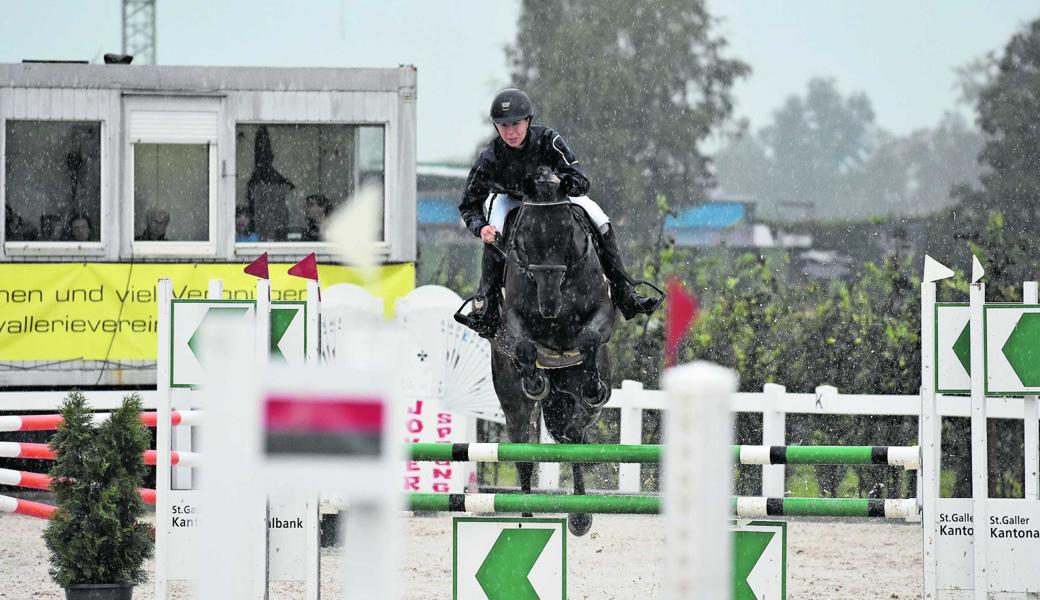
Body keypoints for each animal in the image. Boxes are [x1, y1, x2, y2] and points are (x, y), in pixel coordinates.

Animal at [484, 166, 611, 536]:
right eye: (525, 236)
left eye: (567, 232)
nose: (549, 304)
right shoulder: (512, 319)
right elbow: (525, 345)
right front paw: (535, 381)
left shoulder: (603, 313)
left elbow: (588, 337)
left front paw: (593, 385)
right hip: (515, 405)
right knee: (524, 454)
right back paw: (528, 518)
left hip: (572, 400)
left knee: (575, 436)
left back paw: (580, 516)